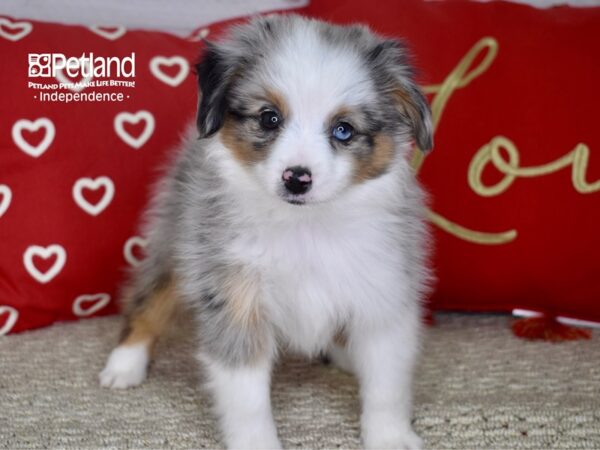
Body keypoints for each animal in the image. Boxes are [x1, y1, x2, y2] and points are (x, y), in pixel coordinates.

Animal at [101, 14, 434, 450]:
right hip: (177, 244)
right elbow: (248, 401)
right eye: (268, 118)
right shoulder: (235, 298)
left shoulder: (383, 296)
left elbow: (386, 388)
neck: (305, 226)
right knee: (148, 301)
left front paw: (391, 437)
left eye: (344, 130)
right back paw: (124, 364)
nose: (297, 179)